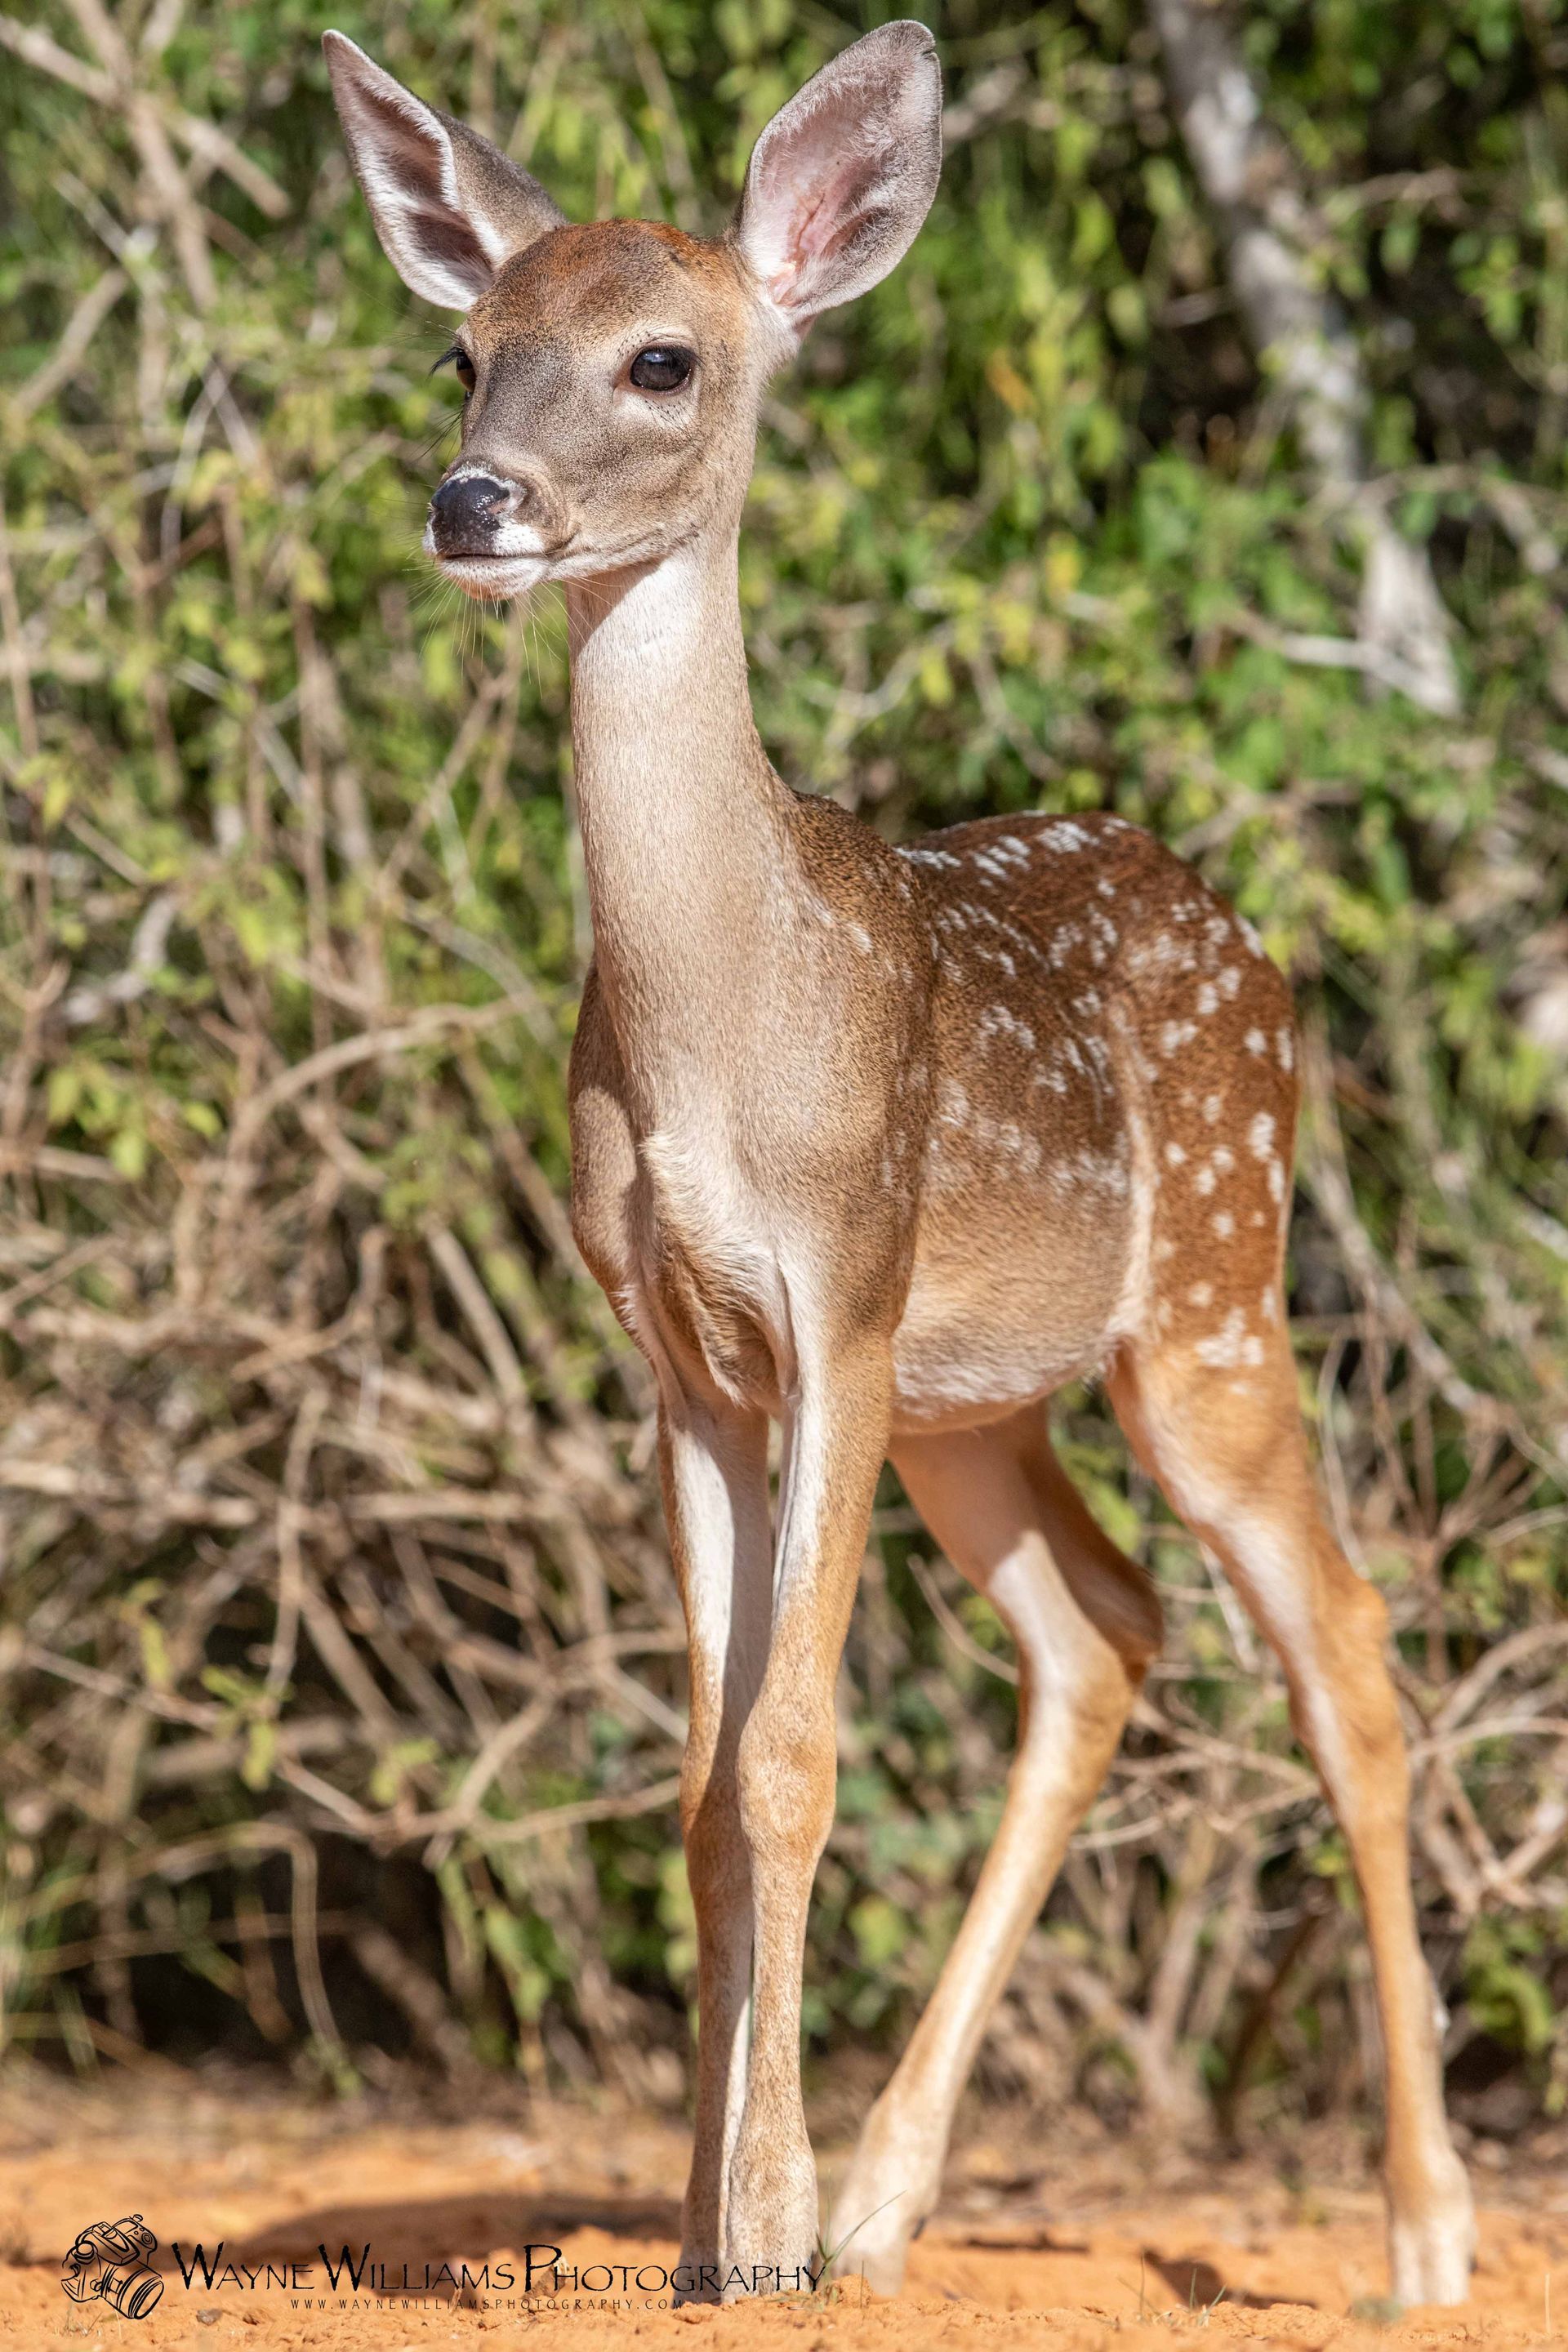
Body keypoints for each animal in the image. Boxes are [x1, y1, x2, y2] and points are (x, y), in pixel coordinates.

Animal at [322, 21, 1475, 2310]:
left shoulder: (836, 1294)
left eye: (661, 358)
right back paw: (886, 2202)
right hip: (983, 1409)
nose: (474, 502)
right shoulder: (679, 1357)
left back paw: (1420, 2231)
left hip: (1208, 1306)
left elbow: (787, 1754)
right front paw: (712, 2234)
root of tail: (1247, 939)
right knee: (1102, 1633)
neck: (715, 1034)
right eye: (464, 352)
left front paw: (753, 2233)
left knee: (1349, 1646)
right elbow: (698, 1786)